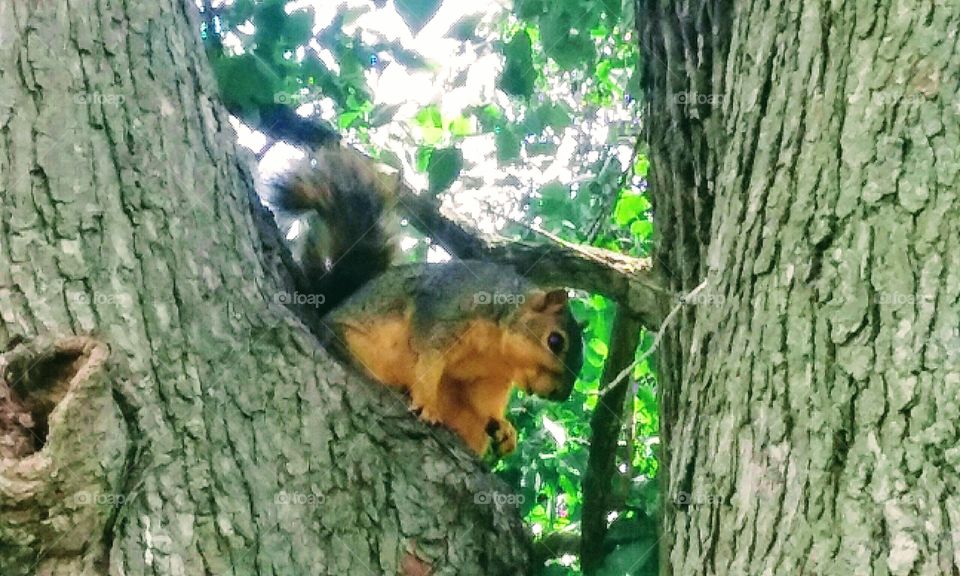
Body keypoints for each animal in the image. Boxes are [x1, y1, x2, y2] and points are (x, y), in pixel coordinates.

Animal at [271, 146, 584, 457]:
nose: (558, 395)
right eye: (555, 341)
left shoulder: (491, 380)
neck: (497, 353)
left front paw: (505, 428)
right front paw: (427, 405)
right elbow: (428, 361)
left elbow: (483, 403)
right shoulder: (442, 312)